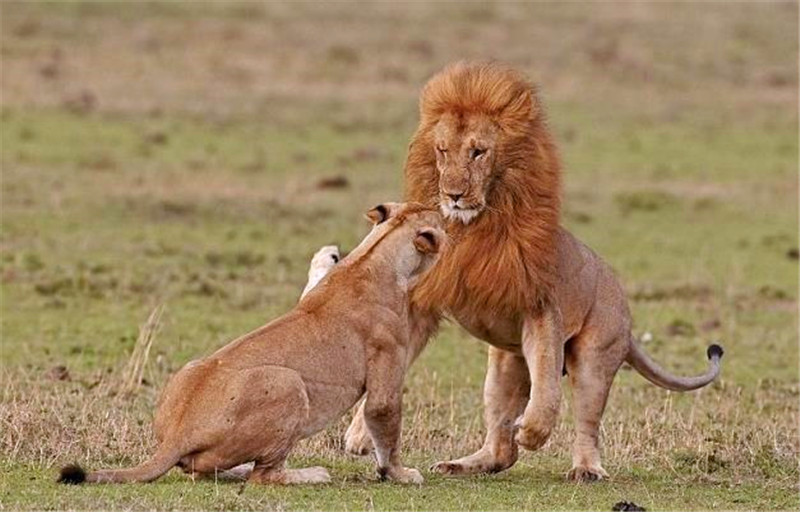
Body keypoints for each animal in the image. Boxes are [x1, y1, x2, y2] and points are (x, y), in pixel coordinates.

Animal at [344, 62, 724, 482]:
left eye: (478, 152)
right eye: (442, 151)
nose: (453, 194)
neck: (475, 228)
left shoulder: (541, 311)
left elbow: (547, 386)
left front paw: (534, 431)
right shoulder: (422, 305)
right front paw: (359, 435)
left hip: (595, 354)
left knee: (585, 420)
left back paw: (584, 468)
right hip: (504, 366)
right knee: (501, 448)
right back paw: (462, 464)